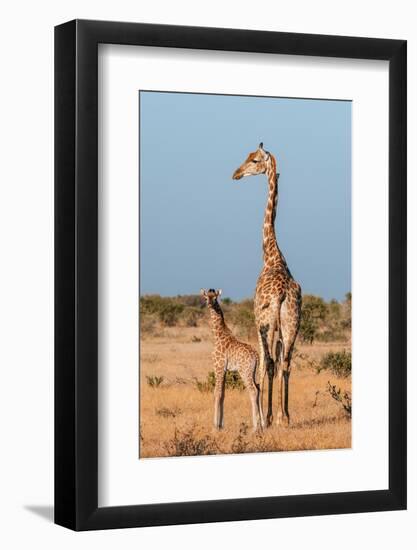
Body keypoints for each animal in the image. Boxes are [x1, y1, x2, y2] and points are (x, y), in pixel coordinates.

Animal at [200, 292, 262, 434]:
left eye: (215, 298)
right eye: (206, 297)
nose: (209, 304)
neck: (218, 334)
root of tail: (256, 356)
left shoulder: (218, 366)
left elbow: (216, 393)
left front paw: (214, 427)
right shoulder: (224, 370)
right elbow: (223, 394)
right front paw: (221, 425)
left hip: (244, 372)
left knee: (253, 391)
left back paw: (255, 428)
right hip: (254, 372)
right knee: (259, 388)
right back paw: (263, 425)